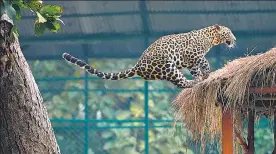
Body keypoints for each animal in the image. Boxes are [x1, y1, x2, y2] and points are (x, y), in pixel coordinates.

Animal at [62, 24, 235, 88]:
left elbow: (197, 68)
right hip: (168, 66)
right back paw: (193, 83)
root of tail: (138, 66)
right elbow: (203, 62)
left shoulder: (190, 61)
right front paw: (205, 74)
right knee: (180, 82)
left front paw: (203, 75)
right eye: (229, 32)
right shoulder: (193, 54)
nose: (234, 39)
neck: (211, 38)